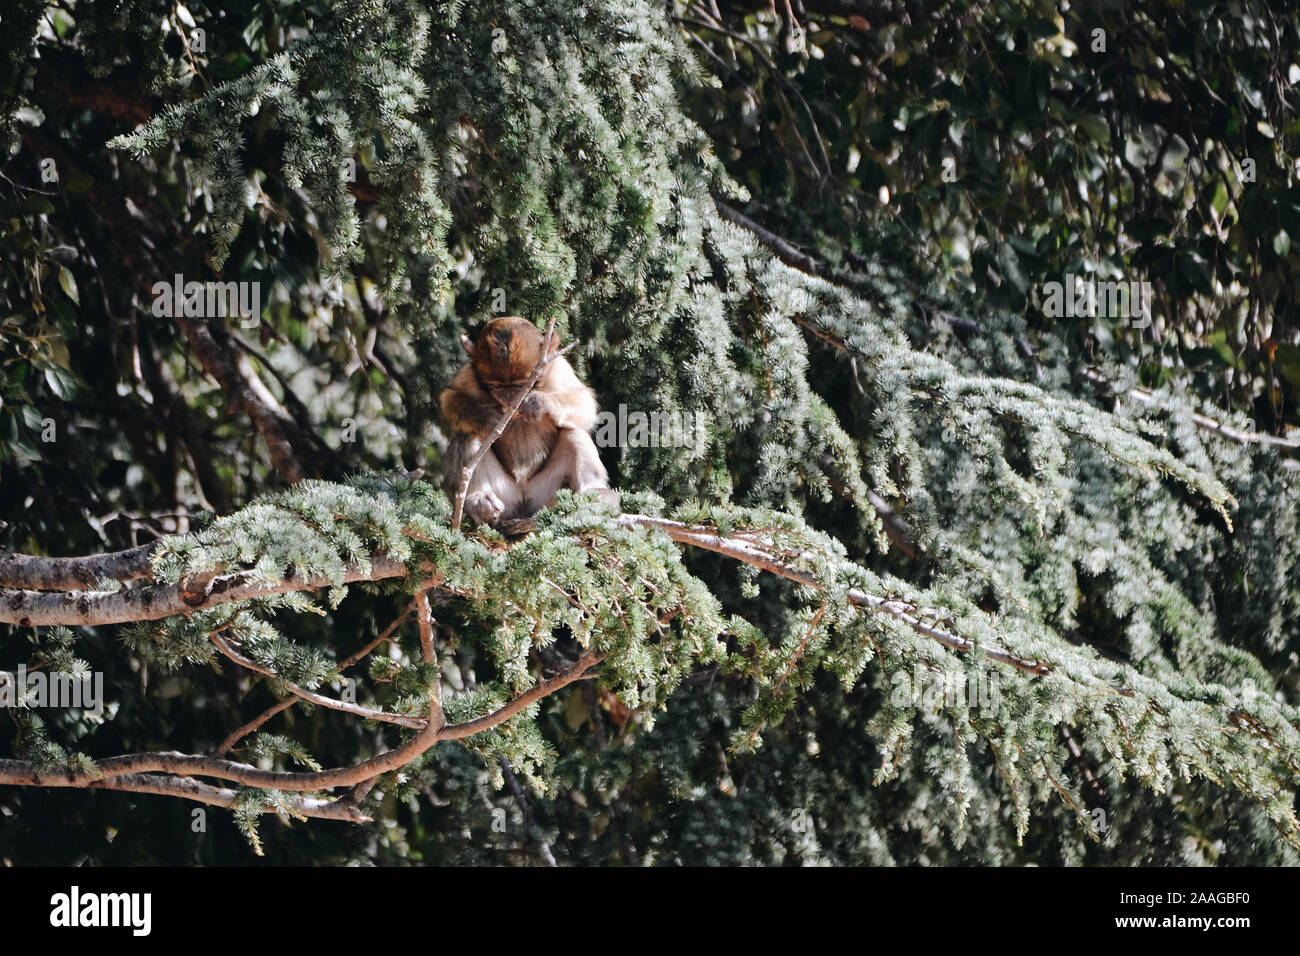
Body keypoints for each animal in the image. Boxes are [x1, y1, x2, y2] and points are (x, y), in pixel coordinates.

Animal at [439, 319, 616, 530]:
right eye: (495, 386)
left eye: (520, 385)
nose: (509, 398)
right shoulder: (470, 373)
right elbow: (451, 398)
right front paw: (487, 417)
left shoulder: (557, 367)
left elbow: (584, 401)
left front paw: (539, 403)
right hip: (506, 497)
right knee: (470, 434)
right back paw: (479, 501)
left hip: (545, 493)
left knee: (573, 431)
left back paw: (593, 494)